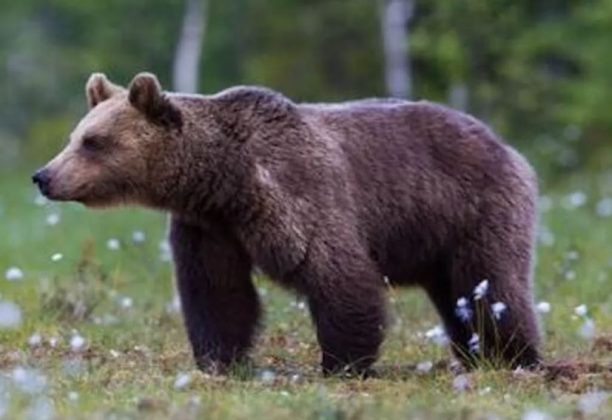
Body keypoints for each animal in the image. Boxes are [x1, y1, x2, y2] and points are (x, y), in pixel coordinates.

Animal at [33, 71, 540, 374]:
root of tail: (506, 145)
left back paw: (513, 357)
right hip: (435, 238)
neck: (224, 178)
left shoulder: (298, 193)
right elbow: (217, 293)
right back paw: (478, 356)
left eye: (94, 141)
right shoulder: (210, 227)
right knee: (458, 294)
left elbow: (338, 273)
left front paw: (343, 363)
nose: (44, 176)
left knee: (489, 283)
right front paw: (218, 360)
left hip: (474, 208)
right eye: (75, 136)